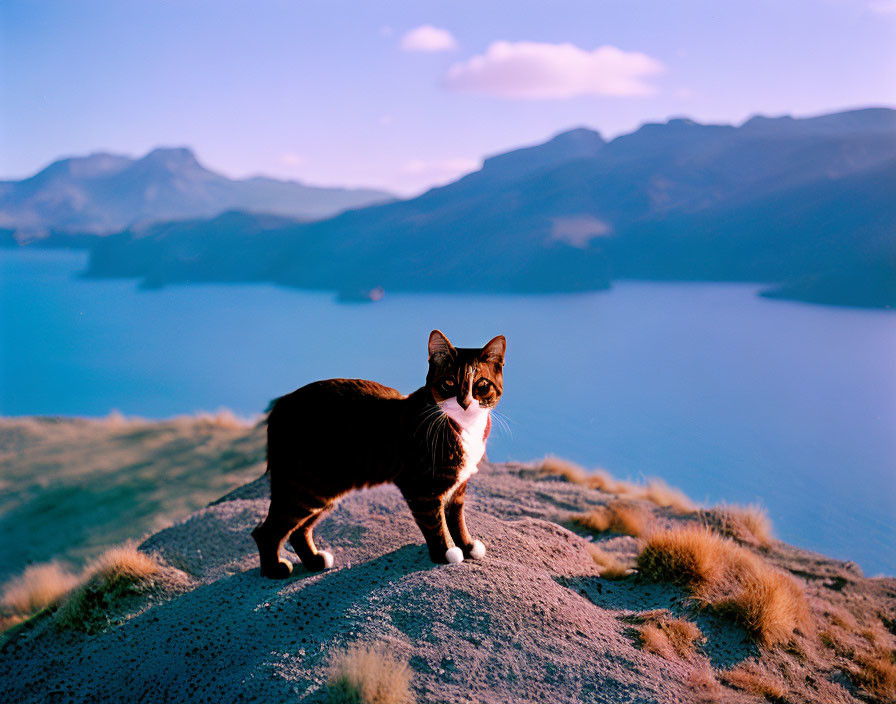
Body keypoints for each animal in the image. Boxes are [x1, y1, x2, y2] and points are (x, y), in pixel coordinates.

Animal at [250, 330, 504, 576]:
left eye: (482, 385)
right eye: (449, 383)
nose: (465, 402)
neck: (462, 427)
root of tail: (280, 405)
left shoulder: (458, 488)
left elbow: (457, 519)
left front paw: (467, 546)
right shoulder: (421, 489)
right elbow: (435, 523)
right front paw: (446, 554)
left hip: (322, 491)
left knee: (298, 529)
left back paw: (313, 560)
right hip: (304, 489)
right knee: (265, 532)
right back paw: (274, 569)